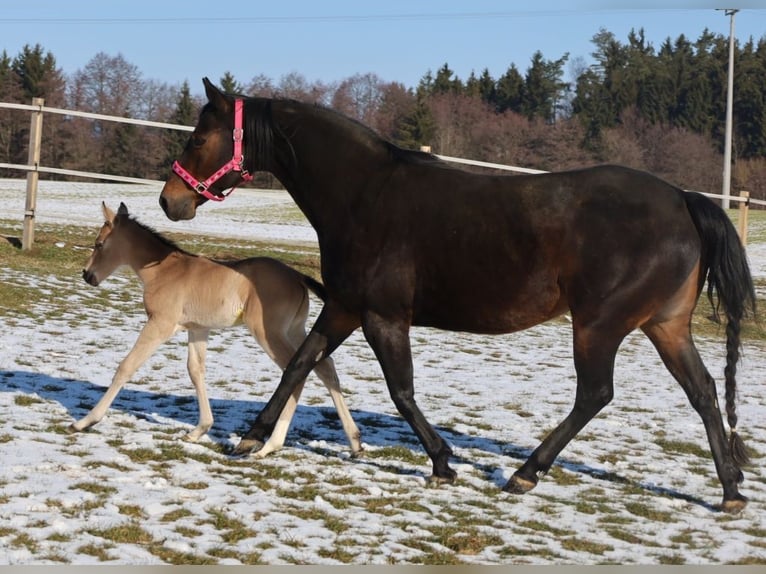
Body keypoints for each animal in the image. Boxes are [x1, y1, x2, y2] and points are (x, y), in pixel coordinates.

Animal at [70, 201, 362, 457]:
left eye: (98, 244)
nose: (87, 274)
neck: (165, 270)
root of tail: (299, 277)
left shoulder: (159, 324)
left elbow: (127, 366)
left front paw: (86, 420)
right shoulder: (197, 328)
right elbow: (195, 370)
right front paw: (199, 430)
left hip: (268, 332)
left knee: (296, 370)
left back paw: (270, 445)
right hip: (294, 330)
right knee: (323, 366)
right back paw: (354, 442)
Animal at [159, 78, 756, 513]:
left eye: (197, 138)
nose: (170, 201)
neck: (364, 194)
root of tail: (682, 199)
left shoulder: (384, 317)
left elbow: (401, 391)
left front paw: (443, 463)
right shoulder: (345, 307)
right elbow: (300, 363)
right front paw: (251, 437)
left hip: (598, 325)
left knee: (596, 394)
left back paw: (524, 474)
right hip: (665, 325)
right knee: (703, 392)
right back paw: (730, 490)